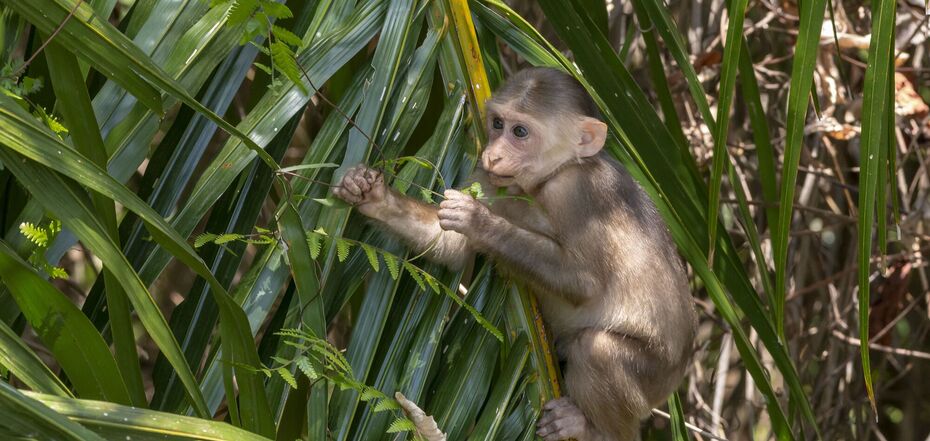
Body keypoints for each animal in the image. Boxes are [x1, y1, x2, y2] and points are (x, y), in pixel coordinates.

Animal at [333, 67, 697, 441]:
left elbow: (585, 282)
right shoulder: (489, 178)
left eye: (520, 131)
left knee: (598, 350)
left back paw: (595, 430)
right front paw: (371, 194)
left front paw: (480, 221)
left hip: (653, 377)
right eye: (497, 124)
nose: (493, 154)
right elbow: (450, 247)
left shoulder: (579, 192)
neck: (548, 178)